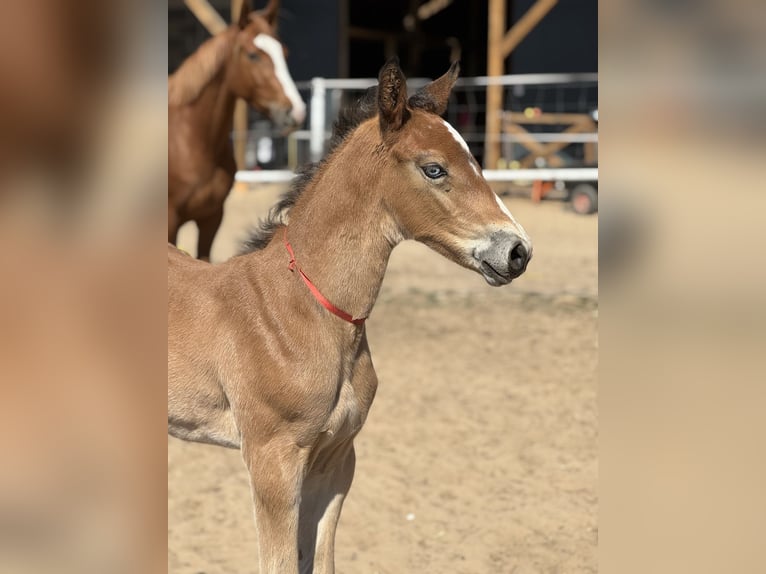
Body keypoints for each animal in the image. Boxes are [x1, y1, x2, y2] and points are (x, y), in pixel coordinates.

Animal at [168, 58, 532, 573]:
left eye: (476, 159)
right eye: (434, 168)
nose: (518, 251)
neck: (303, 310)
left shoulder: (336, 459)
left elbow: (320, 561)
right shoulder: (272, 459)